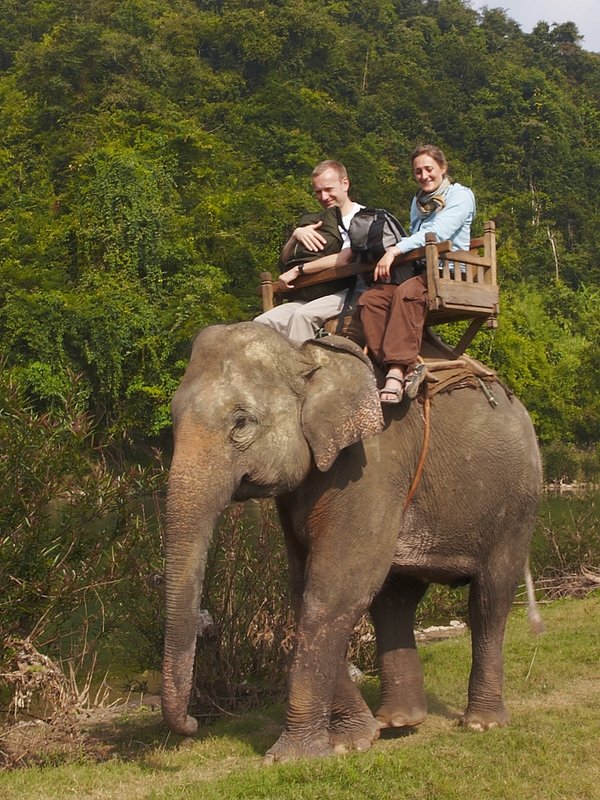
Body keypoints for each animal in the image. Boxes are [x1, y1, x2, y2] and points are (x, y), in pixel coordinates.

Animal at [161, 321, 543, 763]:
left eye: (241, 423)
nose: (192, 725)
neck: (308, 355)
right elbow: (305, 588)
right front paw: (352, 741)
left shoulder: (370, 467)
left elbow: (336, 588)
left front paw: (292, 757)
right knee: (395, 601)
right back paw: (398, 722)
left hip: (517, 505)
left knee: (489, 599)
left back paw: (481, 723)